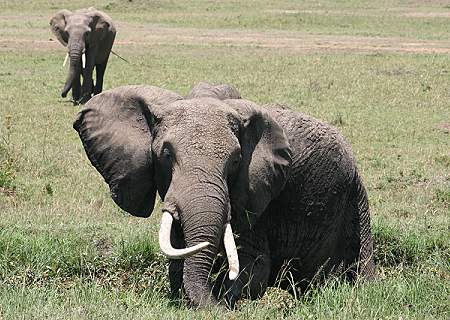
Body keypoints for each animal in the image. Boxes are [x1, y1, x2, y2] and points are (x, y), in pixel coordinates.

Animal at [74, 82, 376, 308]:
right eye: (166, 155)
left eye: (235, 162)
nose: (215, 304)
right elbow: (178, 249)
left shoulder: (257, 196)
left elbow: (255, 267)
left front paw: (224, 297)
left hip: (348, 200)